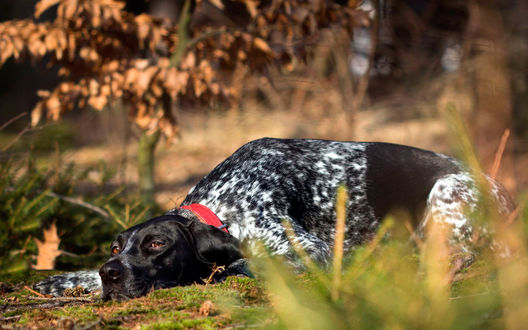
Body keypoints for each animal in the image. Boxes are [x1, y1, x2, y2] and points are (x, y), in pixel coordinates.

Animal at [35, 137, 512, 300]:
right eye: (115, 248)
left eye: (157, 245)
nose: (111, 273)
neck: (223, 206)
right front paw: (63, 280)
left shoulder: (314, 252)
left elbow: (245, 264)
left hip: (445, 192)